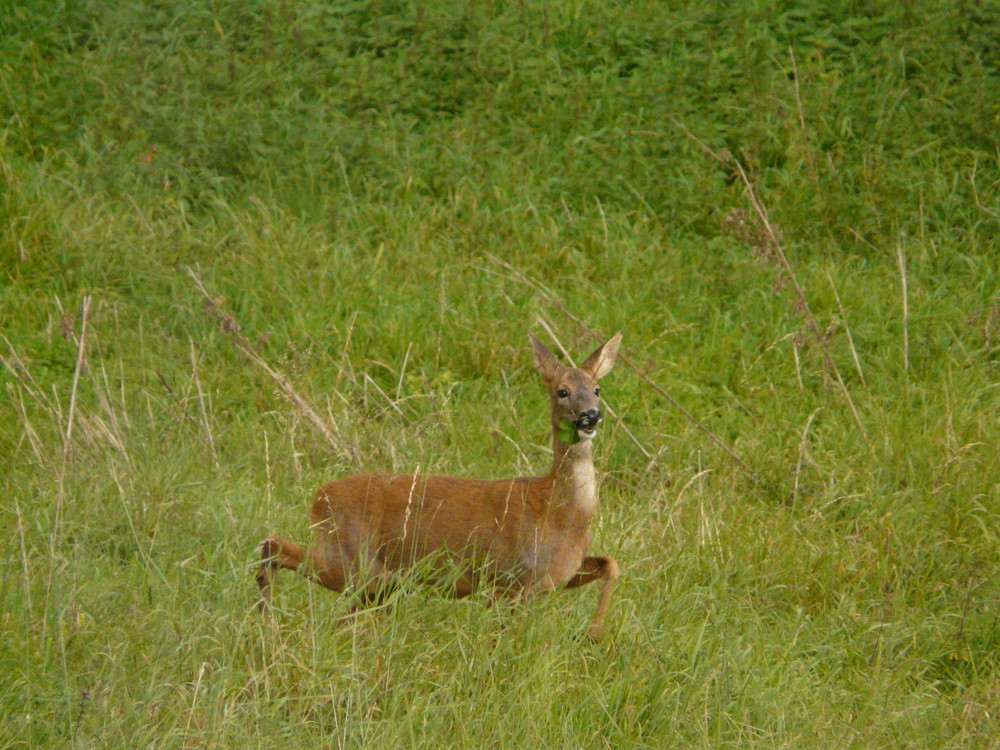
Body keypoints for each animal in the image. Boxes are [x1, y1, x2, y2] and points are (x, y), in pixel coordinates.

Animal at [254, 334, 620, 640]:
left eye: (597, 389)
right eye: (562, 391)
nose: (590, 416)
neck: (559, 511)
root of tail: (319, 497)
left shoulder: (558, 576)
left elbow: (609, 564)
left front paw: (593, 633)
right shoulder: (508, 580)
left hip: (373, 582)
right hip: (349, 561)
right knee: (273, 545)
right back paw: (266, 623)